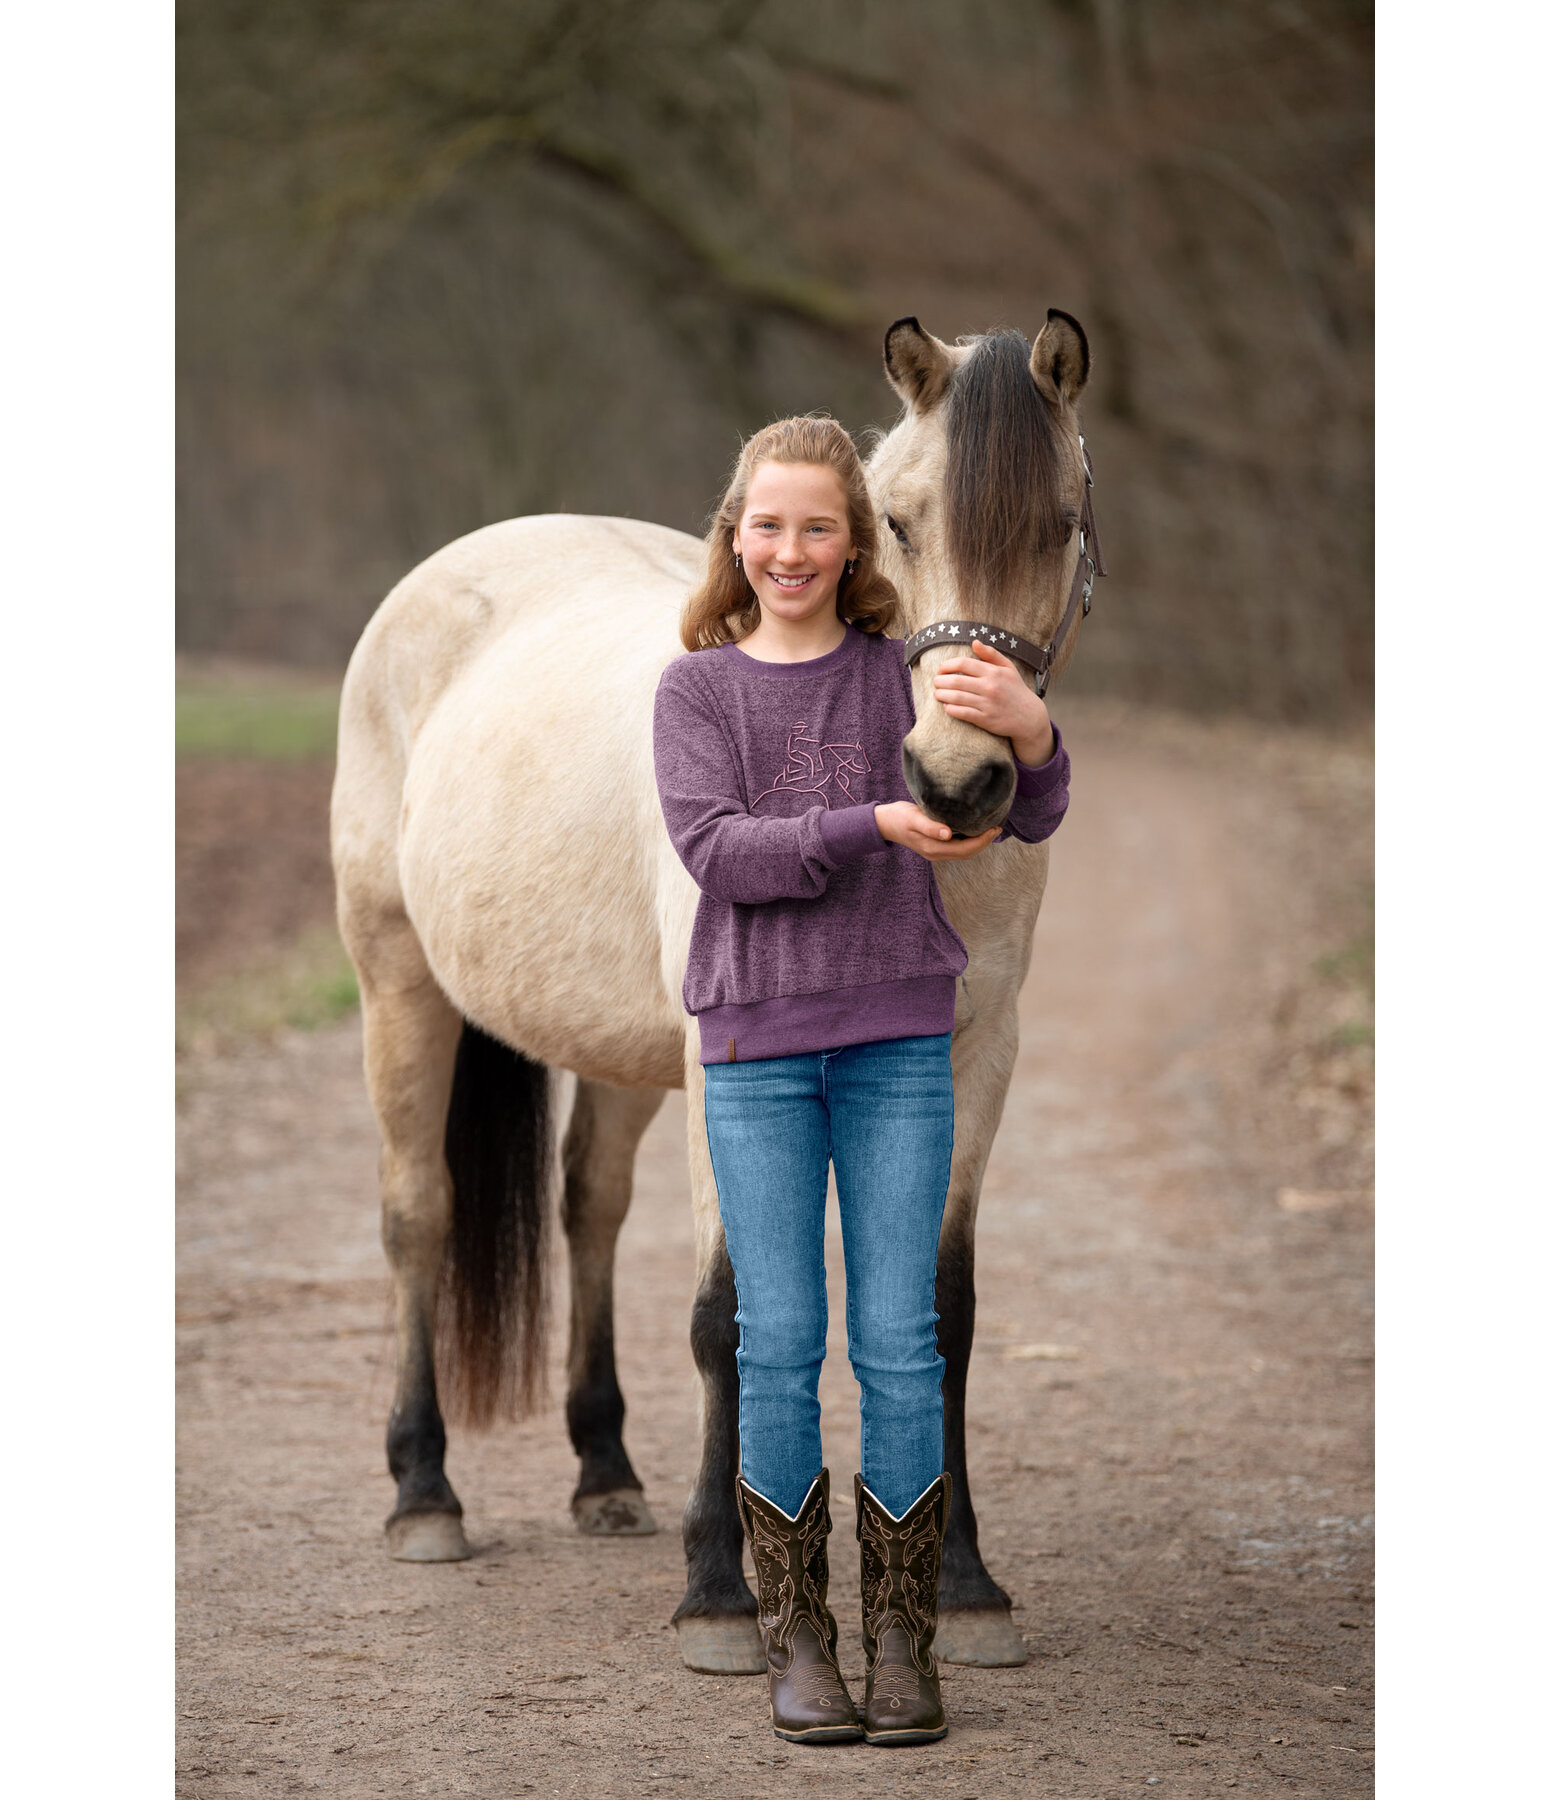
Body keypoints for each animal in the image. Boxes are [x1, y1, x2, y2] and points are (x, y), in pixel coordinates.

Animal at [325, 309, 1101, 1670]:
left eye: (1060, 521)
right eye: (899, 520)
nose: (958, 784)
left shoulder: (976, 1058)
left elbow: (938, 1308)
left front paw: (966, 1588)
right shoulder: (727, 1065)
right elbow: (727, 1308)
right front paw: (718, 1595)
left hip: (618, 1047)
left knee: (587, 1209)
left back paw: (603, 1475)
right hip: (398, 986)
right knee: (418, 1214)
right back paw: (424, 1495)